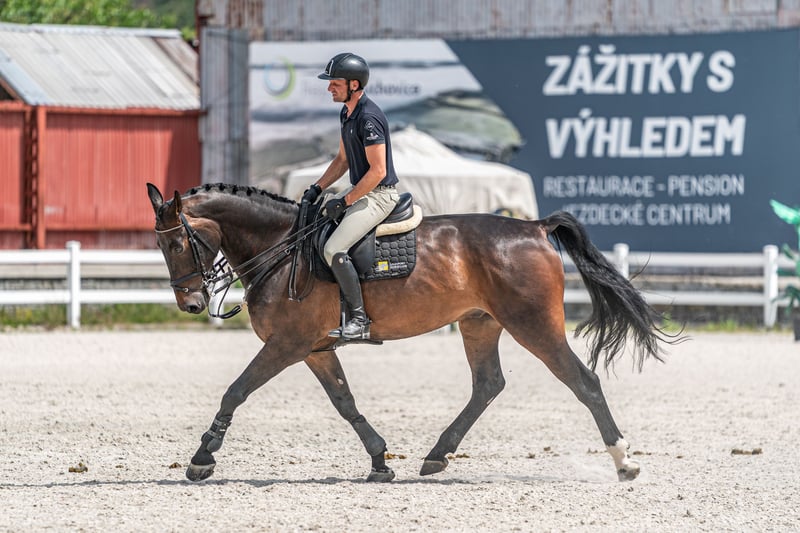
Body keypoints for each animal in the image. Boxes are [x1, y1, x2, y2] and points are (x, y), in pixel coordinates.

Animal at [146, 182, 677, 483]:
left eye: (176, 243)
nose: (191, 303)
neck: (281, 246)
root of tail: (535, 227)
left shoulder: (287, 345)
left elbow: (235, 391)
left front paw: (202, 458)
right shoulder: (314, 348)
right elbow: (345, 402)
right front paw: (380, 461)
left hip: (533, 324)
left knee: (583, 382)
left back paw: (624, 462)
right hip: (479, 323)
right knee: (488, 385)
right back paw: (437, 456)